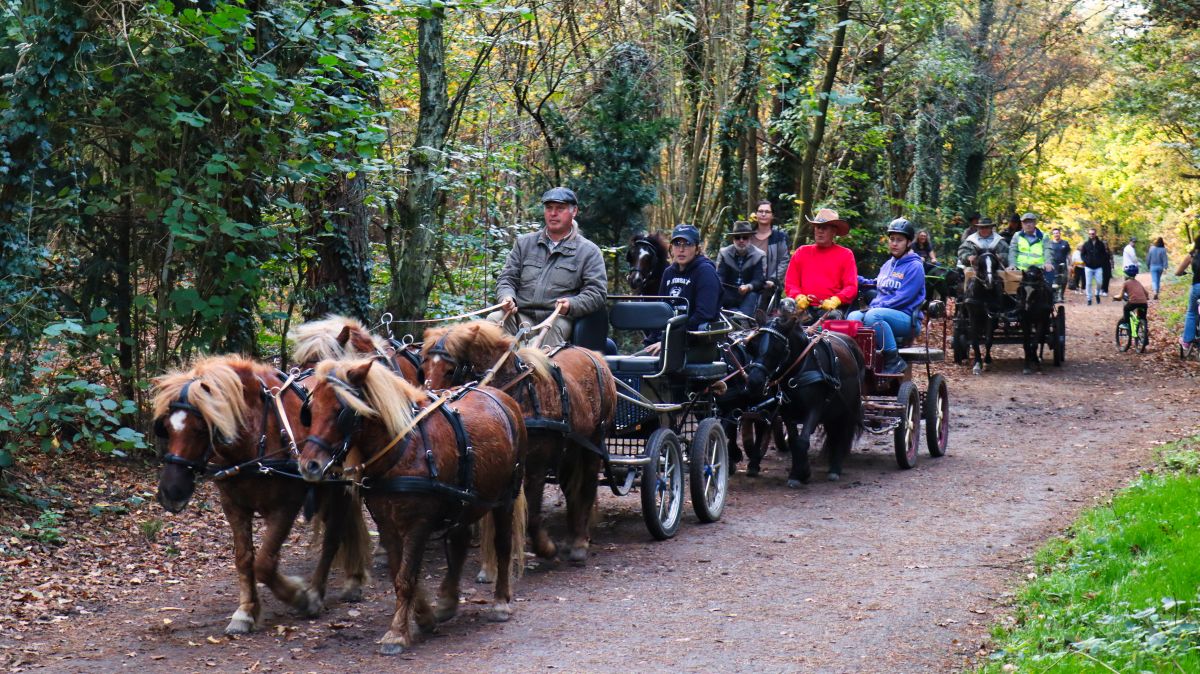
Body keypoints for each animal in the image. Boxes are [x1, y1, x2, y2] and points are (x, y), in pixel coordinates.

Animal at [153, 354, 369, 633]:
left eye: (202, 428)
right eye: (167, 427)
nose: (171, 491)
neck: (257, 441)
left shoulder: (286, 506)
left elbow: (265, 563)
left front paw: (300, 597)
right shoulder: (233, 506)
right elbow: (244, 559)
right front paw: (245, 612)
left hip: (339, 487)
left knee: (333, 537)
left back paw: (324, 589)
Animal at [295, 359, 525, 652]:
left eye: (340, 412)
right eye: (310, 412)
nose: (309, 465)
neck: (403, 450)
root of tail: (503, 398)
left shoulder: (418, 524)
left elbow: (406, 578)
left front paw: (397, 633)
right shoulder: (386, 524)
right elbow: (399, 573)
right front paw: (423, 615)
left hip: (505, 498)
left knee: (503, 546)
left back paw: (500, 602)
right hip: (465, 500)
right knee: (459, 542)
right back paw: (448, 600)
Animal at [422, 316, 614, 568]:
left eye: (450, 369)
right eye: (424, 365)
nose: (429, 404)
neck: (517, 391)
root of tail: (595, 355)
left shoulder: (536, 466)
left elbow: (532, 513)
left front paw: (546, 548)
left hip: (593, 442)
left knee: (588, 487)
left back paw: (579, 544)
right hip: (570, 449)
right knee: (572, 490)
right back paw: (571, 538)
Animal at [739, 307, 864, 484]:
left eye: (777, 348)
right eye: (753, 346)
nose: (753, 381)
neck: (798, 370)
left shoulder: (815, 408)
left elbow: (803, 440)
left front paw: (801, 473)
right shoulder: (787, 411)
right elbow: (794, 441)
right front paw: (797, 473)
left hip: (846, 409)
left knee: (842, 435)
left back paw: (835, 469)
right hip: (833, 410)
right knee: (834, 433)